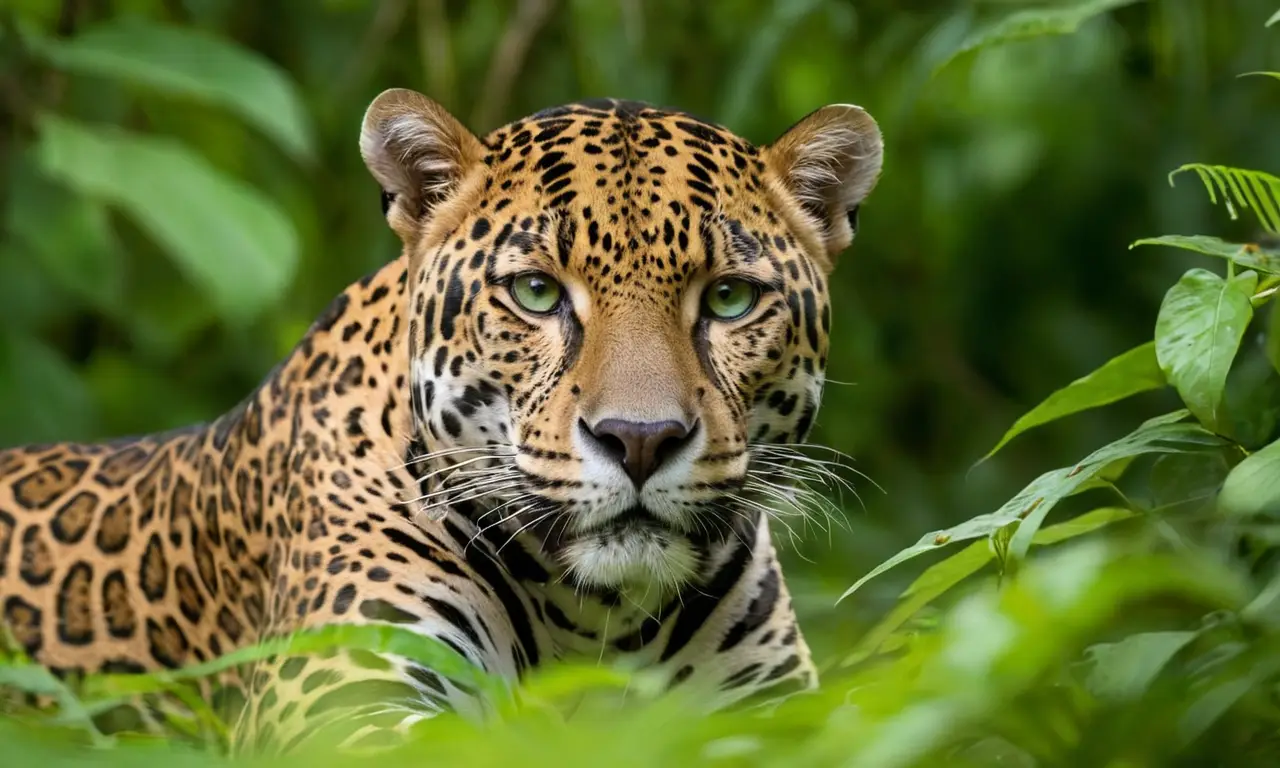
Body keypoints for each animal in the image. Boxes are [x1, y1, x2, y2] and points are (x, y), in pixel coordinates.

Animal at [0, 89, 883, 755]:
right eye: (536, 292)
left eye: (730, 299)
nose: (640, 440)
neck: (601, 620)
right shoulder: (336, 702)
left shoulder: (774, 706)